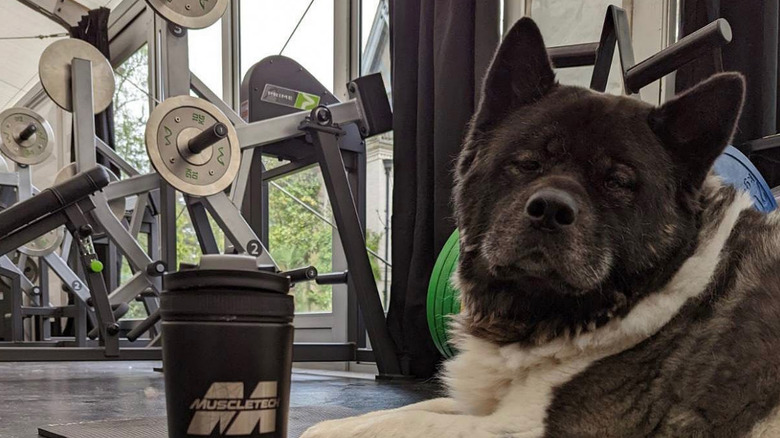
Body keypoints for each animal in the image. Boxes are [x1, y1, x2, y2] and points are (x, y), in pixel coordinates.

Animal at [300, 18, 780, 438]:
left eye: (617, 182)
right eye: (528, 163)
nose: (550, 209)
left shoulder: (539, 427)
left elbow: (409, 423)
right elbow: (412, 409)